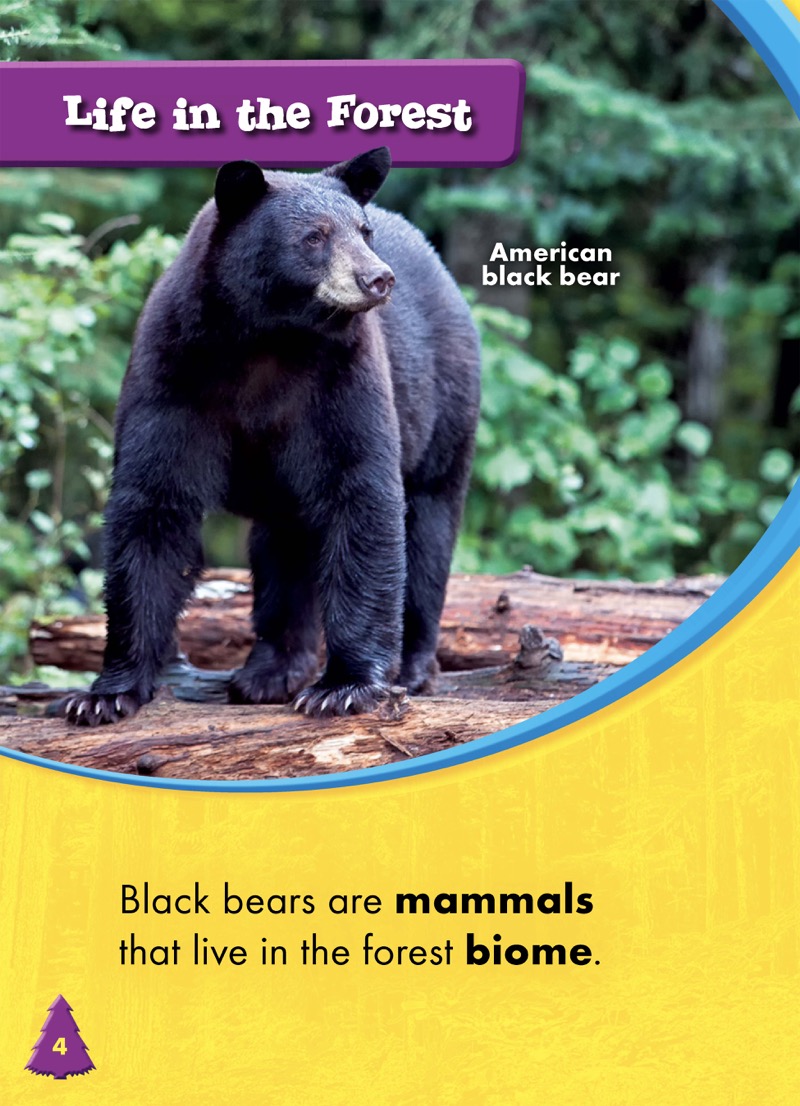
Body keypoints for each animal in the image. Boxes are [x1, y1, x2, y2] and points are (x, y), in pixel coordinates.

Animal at [63, 147, 481, 726]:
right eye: (314, 236)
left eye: (363, 231)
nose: (378, 278)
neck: (268, 338)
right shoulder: (172, 374)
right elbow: (153, 506)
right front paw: (105, 693)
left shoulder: (343, 379)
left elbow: (361, 495)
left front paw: (344, 686)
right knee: (284, 546)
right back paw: (270, 671)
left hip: (445, 404)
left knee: (429, 526)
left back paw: (413, 666)